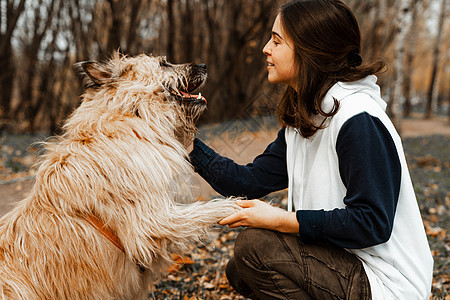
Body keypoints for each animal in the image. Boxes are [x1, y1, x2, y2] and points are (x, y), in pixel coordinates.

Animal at [0, 52, 239, 298]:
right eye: (164, 63)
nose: (203, 65)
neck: (133, 114)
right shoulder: (153, 222)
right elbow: (204, 210)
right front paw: (236, 206)